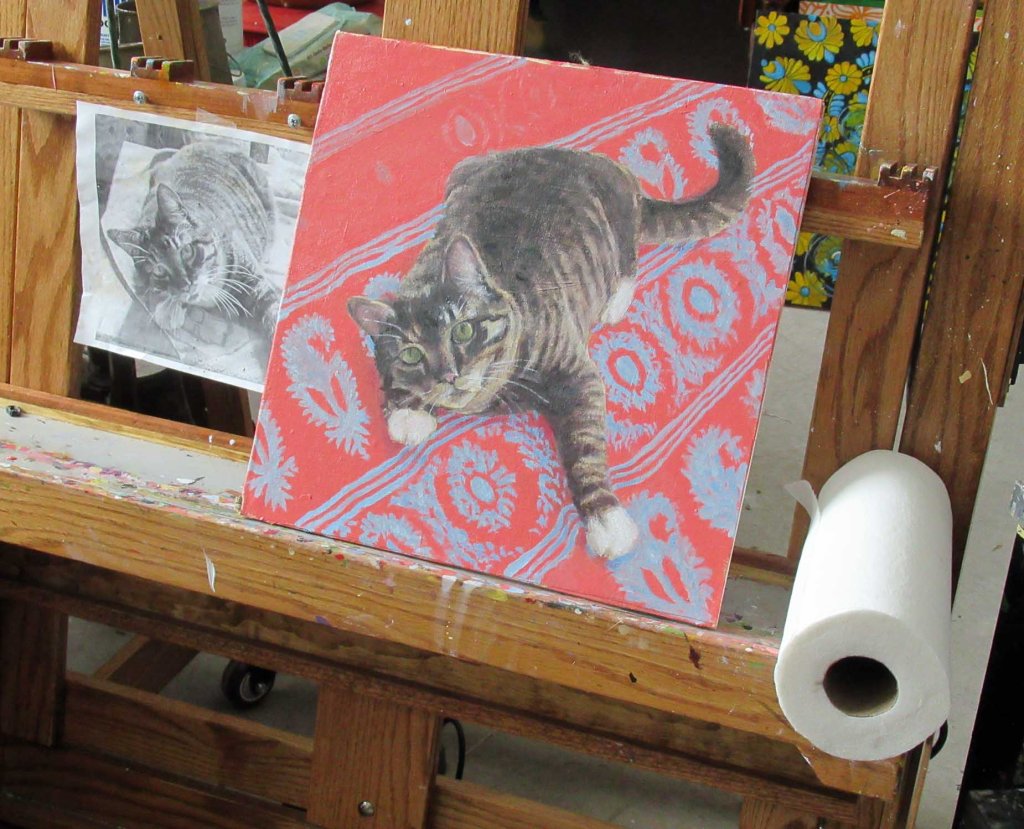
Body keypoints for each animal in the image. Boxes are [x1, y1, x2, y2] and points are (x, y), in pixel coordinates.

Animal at [107, 141, 280, 355]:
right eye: (159, 271)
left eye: (186, 250)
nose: (186, 284)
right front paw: (170, 310)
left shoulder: (255, 279)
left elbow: (273, 308)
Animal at [347, 124, 754, 559]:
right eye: (411, 354)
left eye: (463, 330)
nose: (449, 375)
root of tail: (575, 155)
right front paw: (408, 412)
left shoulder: (578, 376)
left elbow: (583, 449)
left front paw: (606, 519)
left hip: (618, 219)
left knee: (629, 258)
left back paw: (615, 300)